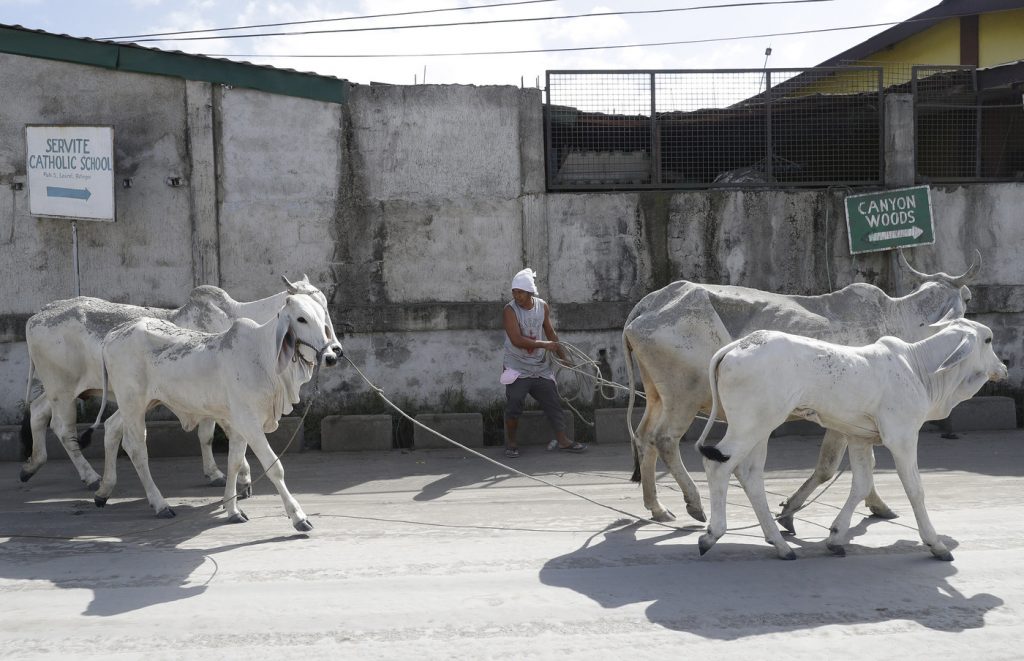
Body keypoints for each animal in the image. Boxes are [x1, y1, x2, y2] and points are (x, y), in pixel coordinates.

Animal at [20, 276, 339, 491]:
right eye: (304, 317)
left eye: (324, 309)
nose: (335, 350)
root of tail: (38, 314)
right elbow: (217, 433)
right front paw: (239, 476)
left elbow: (208, 436)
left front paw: (218, 474)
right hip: (63, 391)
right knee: (64, 429)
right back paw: (90, 476)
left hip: (59, 390)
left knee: (38, 413)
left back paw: (32, 466)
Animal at [88, 294, 335, 532]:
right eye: (301, 319)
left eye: (322, 316)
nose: (332, 356)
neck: (262, 357)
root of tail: (114, 333)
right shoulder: (249, 423)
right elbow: (274, 467)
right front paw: (298, 516)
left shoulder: (239, 425)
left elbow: (234, 462)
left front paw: (232, 510)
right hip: (133, 403)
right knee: (136, 448)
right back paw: (160, 505)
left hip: (141, 403)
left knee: (111, 427)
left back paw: (103, 492)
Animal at [618, 253, 978, 527]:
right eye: (967, 299)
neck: (900, 322)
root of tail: (649, 304)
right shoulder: (846, 421)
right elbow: (829, 467)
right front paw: (790, 511)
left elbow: (863, 464)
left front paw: (877, 505)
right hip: (685, 396)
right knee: (665, 439)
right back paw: (694, 503)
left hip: (658, 396)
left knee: (644, 436)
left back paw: (657, 508)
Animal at [696, 319, 1007, 560]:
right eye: (988, 339)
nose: (1003, 368)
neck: (919, 369)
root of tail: (738, 345)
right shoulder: (903, 437)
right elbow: (915, 490)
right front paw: (937, 544)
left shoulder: (859, 439)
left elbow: (862, 484)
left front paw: (835, 537)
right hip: (749, 426)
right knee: (718, 466)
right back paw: (712, 535)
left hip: (761, 428)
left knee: (749, 476)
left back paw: (780, 544)